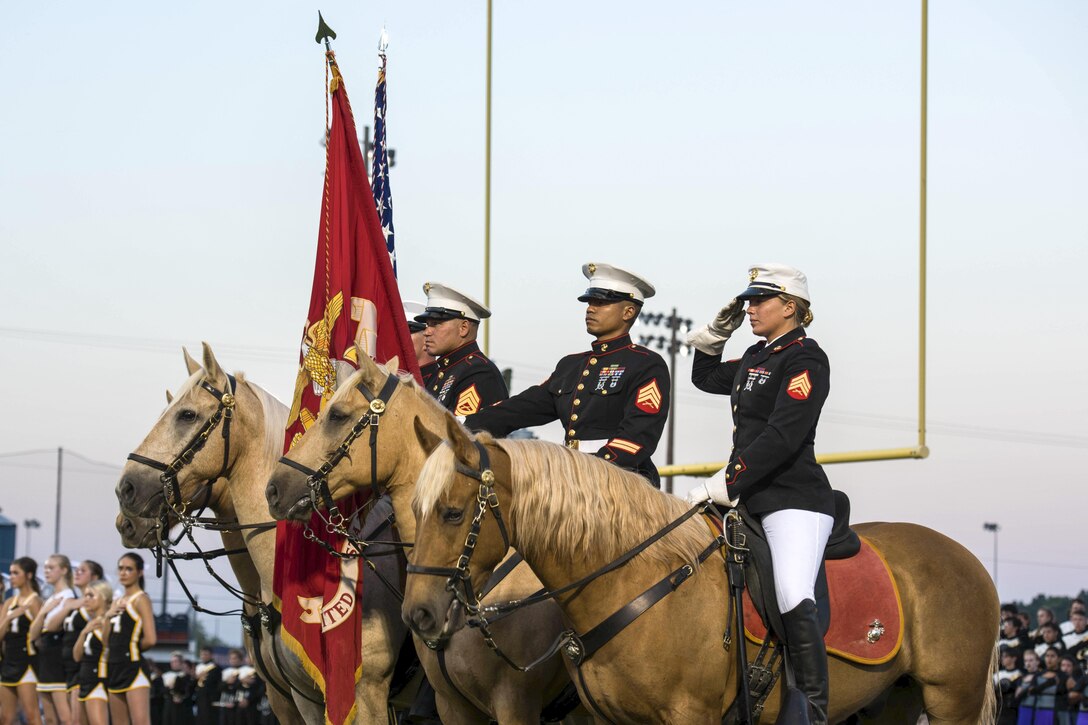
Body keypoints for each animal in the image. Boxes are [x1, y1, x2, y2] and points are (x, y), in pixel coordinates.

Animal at [404, 411, 996, 722]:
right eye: (416, 508)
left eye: (452, 512)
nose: (418, 615)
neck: (633, 582)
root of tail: (970, 560)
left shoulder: (688, 714)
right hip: (893, 700)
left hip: (952, 699)